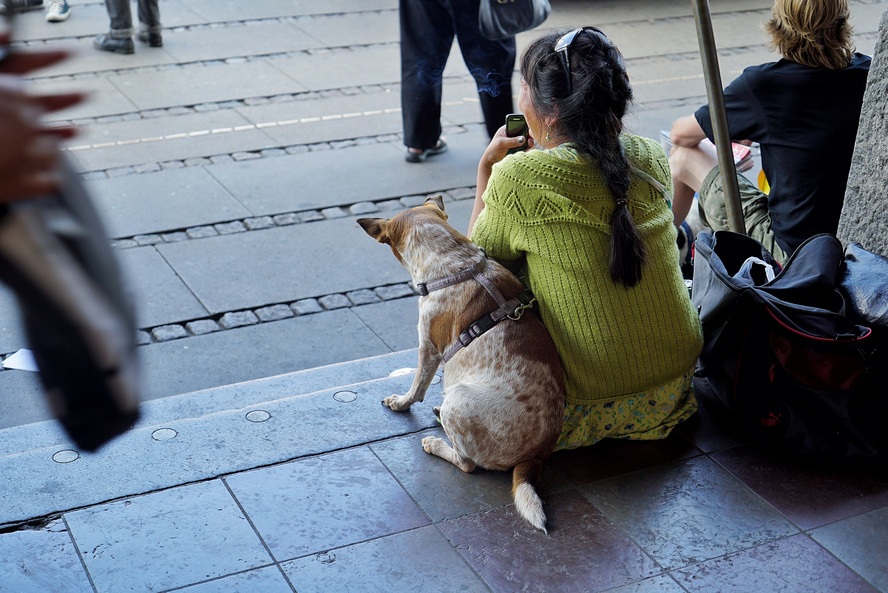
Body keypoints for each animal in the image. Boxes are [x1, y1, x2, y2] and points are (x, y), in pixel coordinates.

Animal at [358, 195, 564, 532]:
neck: (457, 264)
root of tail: (535, 457)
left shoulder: (428, 347)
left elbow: (416, 386)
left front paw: (400, 403)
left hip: (459, 398)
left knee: (467, 464)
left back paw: (435, 443)